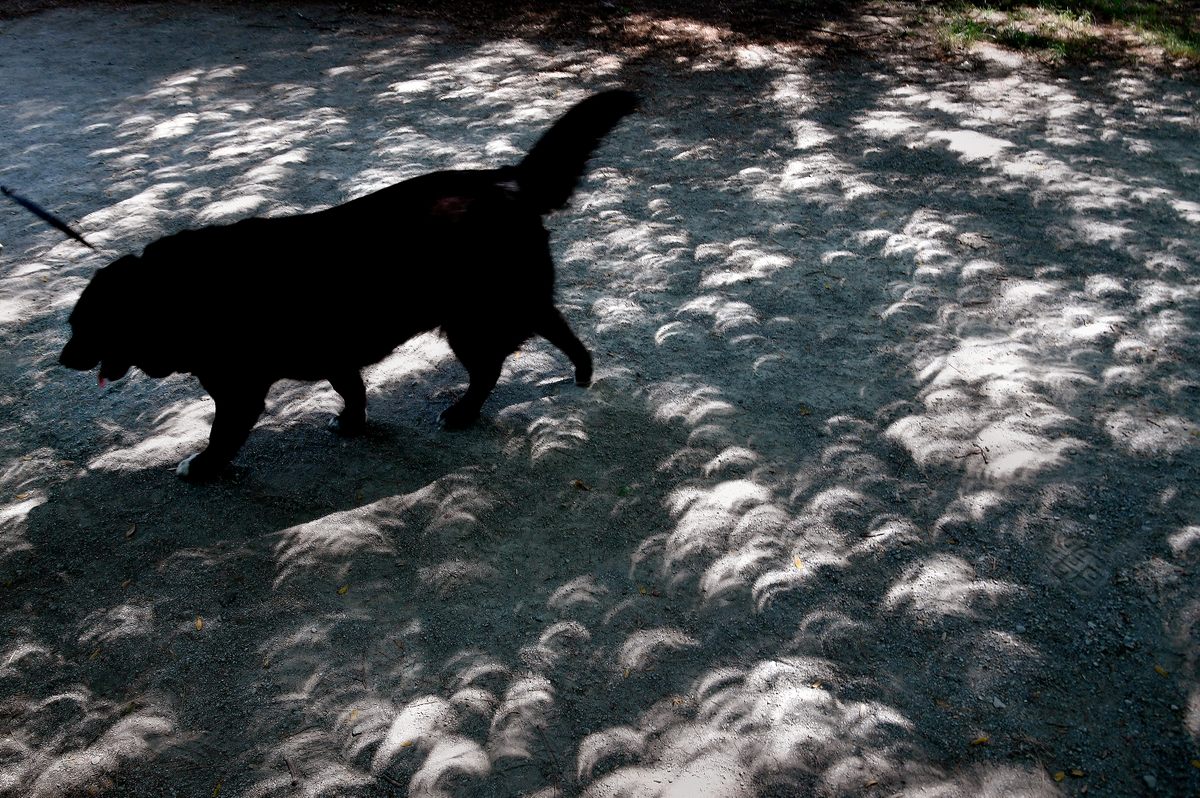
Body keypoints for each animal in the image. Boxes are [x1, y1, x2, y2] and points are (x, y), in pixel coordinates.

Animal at [58, 90, 638, 475]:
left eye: (86, 325)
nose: (62, 360)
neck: (177, 293)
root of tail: (504, 180)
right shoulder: (333, 354)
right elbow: (352, 391)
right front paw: (353, 424)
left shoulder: (239, 390)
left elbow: (223, 434)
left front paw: (200, 467)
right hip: (517, 299)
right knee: (558, 328)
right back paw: (583, 372)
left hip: (473, 320)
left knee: (489, 369)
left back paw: (463, 412)